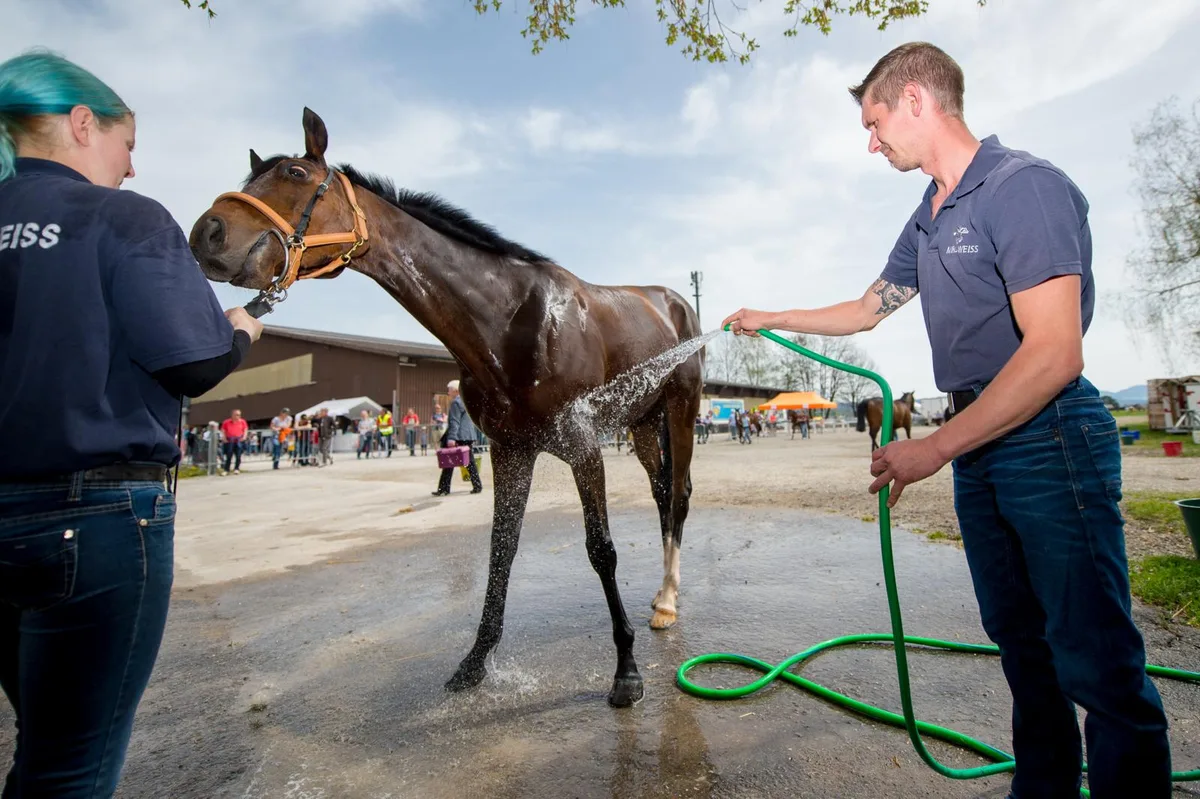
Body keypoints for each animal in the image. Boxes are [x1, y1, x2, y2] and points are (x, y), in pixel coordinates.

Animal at [188, 108, 702, 709]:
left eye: (295, 172)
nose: (208, 235)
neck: (509, 319)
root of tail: (674, 303)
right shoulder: (511, 450)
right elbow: (501, 550)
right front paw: (476, 662)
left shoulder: (581, 446)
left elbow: (601, 549)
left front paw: (626, 671)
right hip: (642, 425)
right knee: (663, 493)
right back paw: (661, 597)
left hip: (679, 413)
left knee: (679, 497)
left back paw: (668, 601)